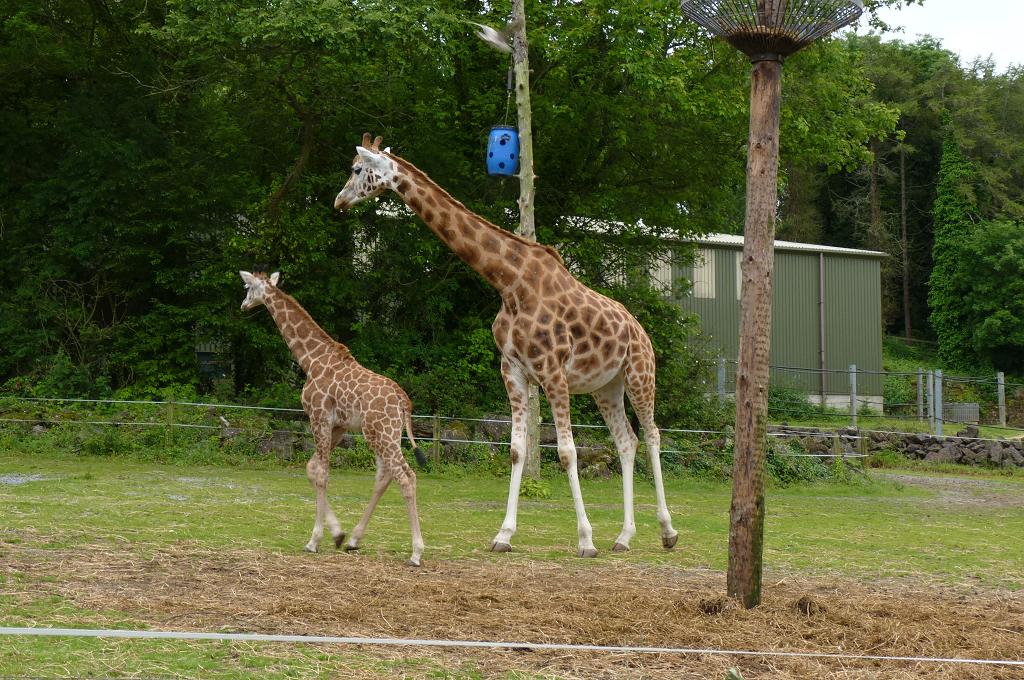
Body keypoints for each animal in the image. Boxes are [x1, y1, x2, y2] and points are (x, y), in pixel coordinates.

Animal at [239, 270, 426, 566]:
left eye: (247, 287)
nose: (243, 305)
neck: (310, 360)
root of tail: (404, 402)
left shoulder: (318, 417)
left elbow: (322, 475)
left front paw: (314, 540)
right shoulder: (339, 426)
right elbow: (311, 468)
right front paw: (338, 535)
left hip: (381, 434)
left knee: (406, 477)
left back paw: (416, 552)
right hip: (385, 434)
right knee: (385, 475)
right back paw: (354, 541)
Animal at [334, 134, 678, 557]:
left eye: (356, 169)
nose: (339, 200)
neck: (509, 283)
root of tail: (640, 330)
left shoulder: (552, 371)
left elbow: (567, 453)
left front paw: (585, 540)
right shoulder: (513, 370)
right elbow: (517, 450)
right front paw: (503, 535)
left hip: (639, 374)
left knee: (653, 436)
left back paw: (667, 532)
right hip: (606, 387)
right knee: (627, 442)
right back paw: (624, 537)